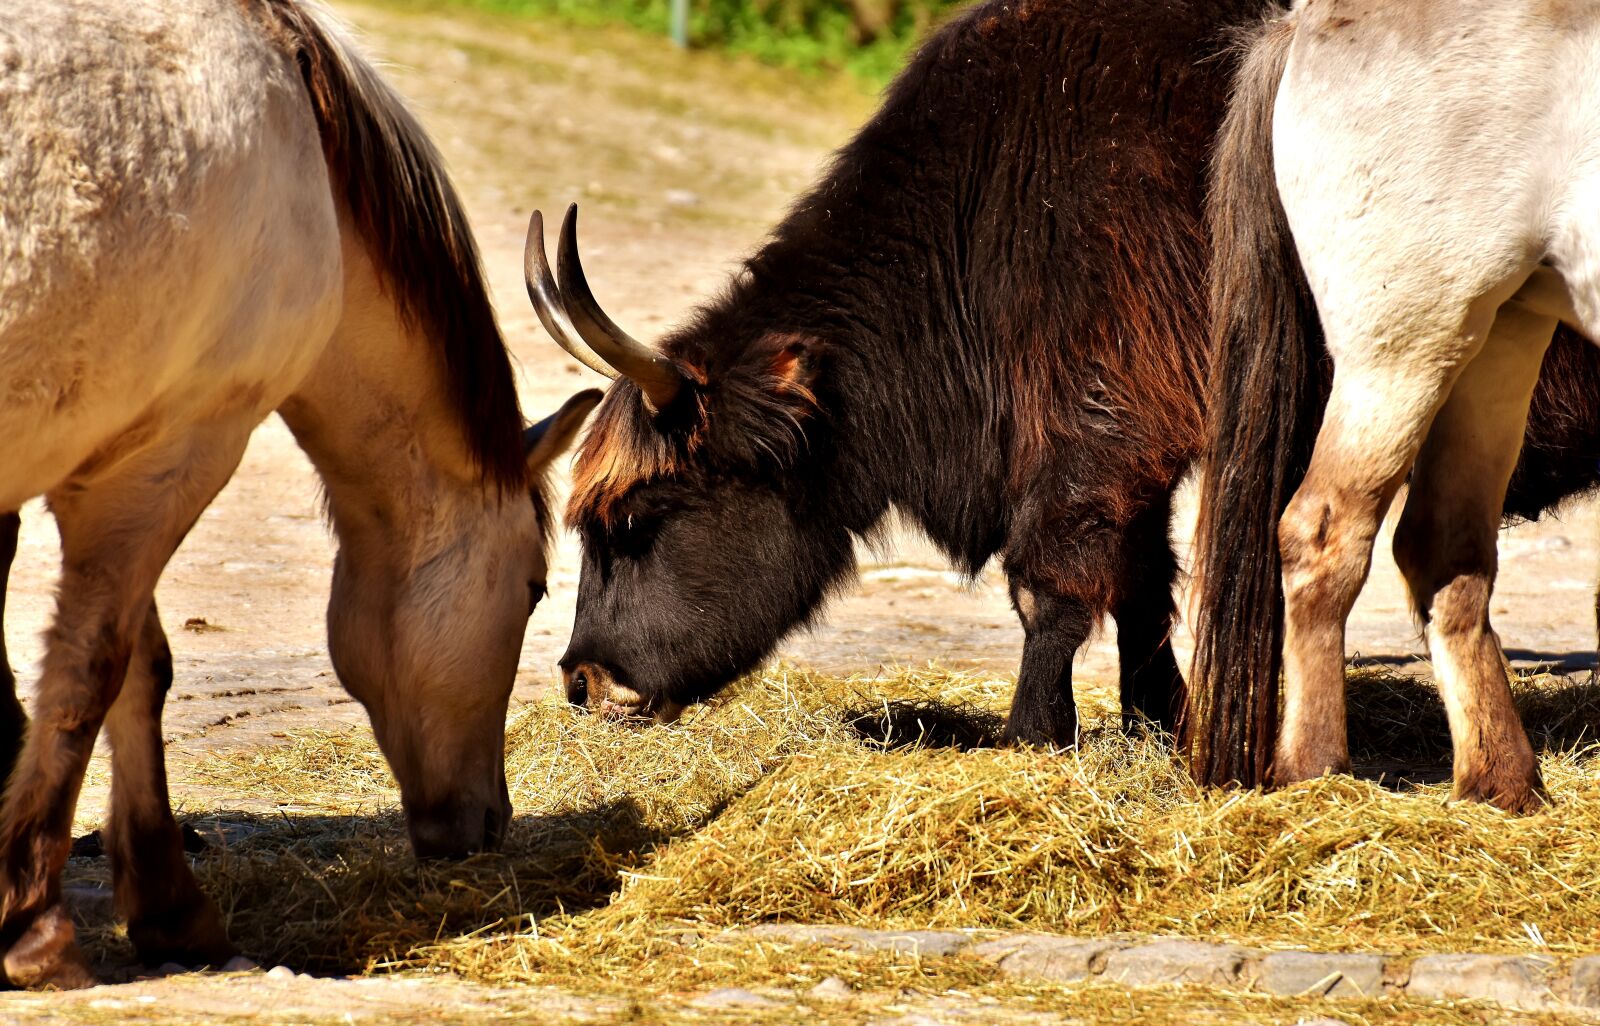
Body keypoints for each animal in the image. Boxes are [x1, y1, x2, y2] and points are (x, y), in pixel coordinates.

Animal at [0, 0, 598, 988]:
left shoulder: (139, 448)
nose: (491, 822)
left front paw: (168, 907)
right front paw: (42, 932)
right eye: (534, 588)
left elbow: (134, 671)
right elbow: (100, 671)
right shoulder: (177, 449)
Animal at [1190, 0, 1600, 812]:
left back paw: (1502, 783)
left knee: (1445, 551)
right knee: (1324, 533)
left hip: (1498, 333)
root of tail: (1304, 23)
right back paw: (1316, 770)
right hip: (1406, 341)